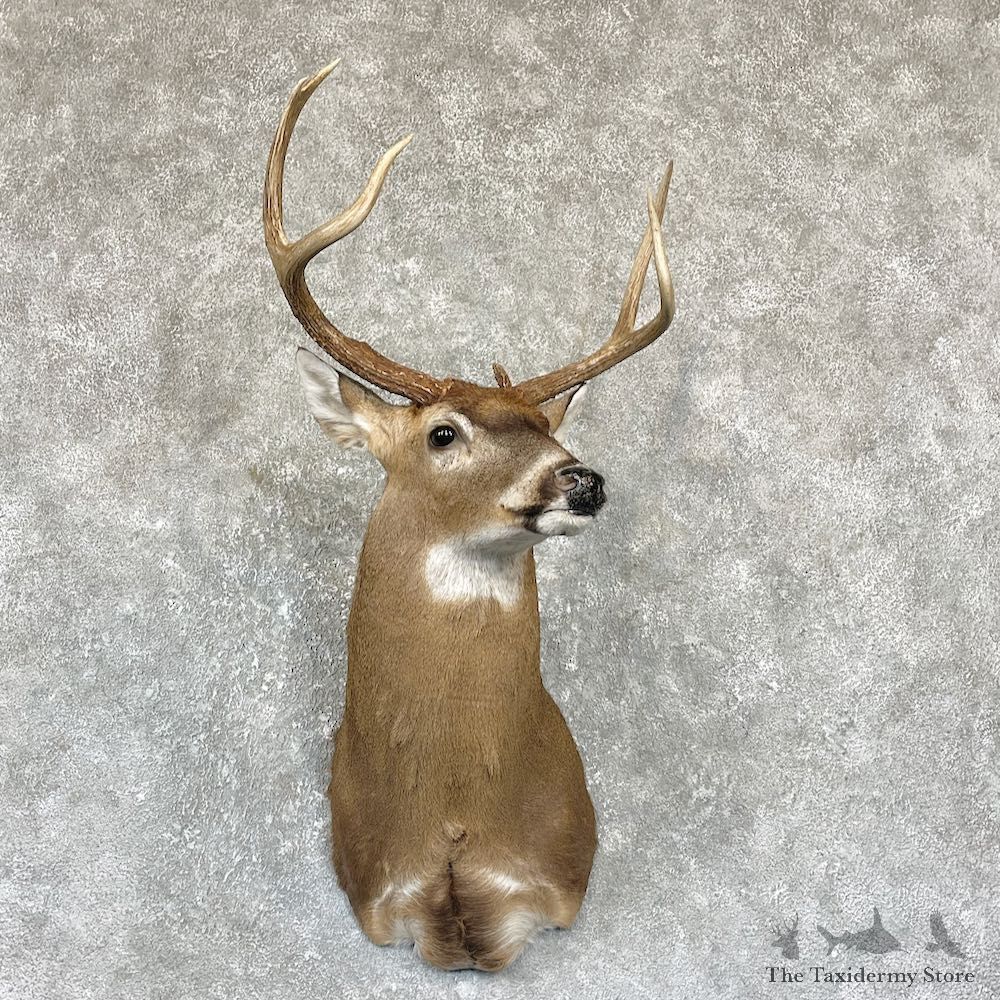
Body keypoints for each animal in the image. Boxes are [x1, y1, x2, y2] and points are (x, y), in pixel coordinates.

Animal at [263, 61, 676, 972]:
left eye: (549, 429)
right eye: (442, 432)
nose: (582, 481)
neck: (453, 822)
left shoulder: (555, 884)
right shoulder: (376, 895)